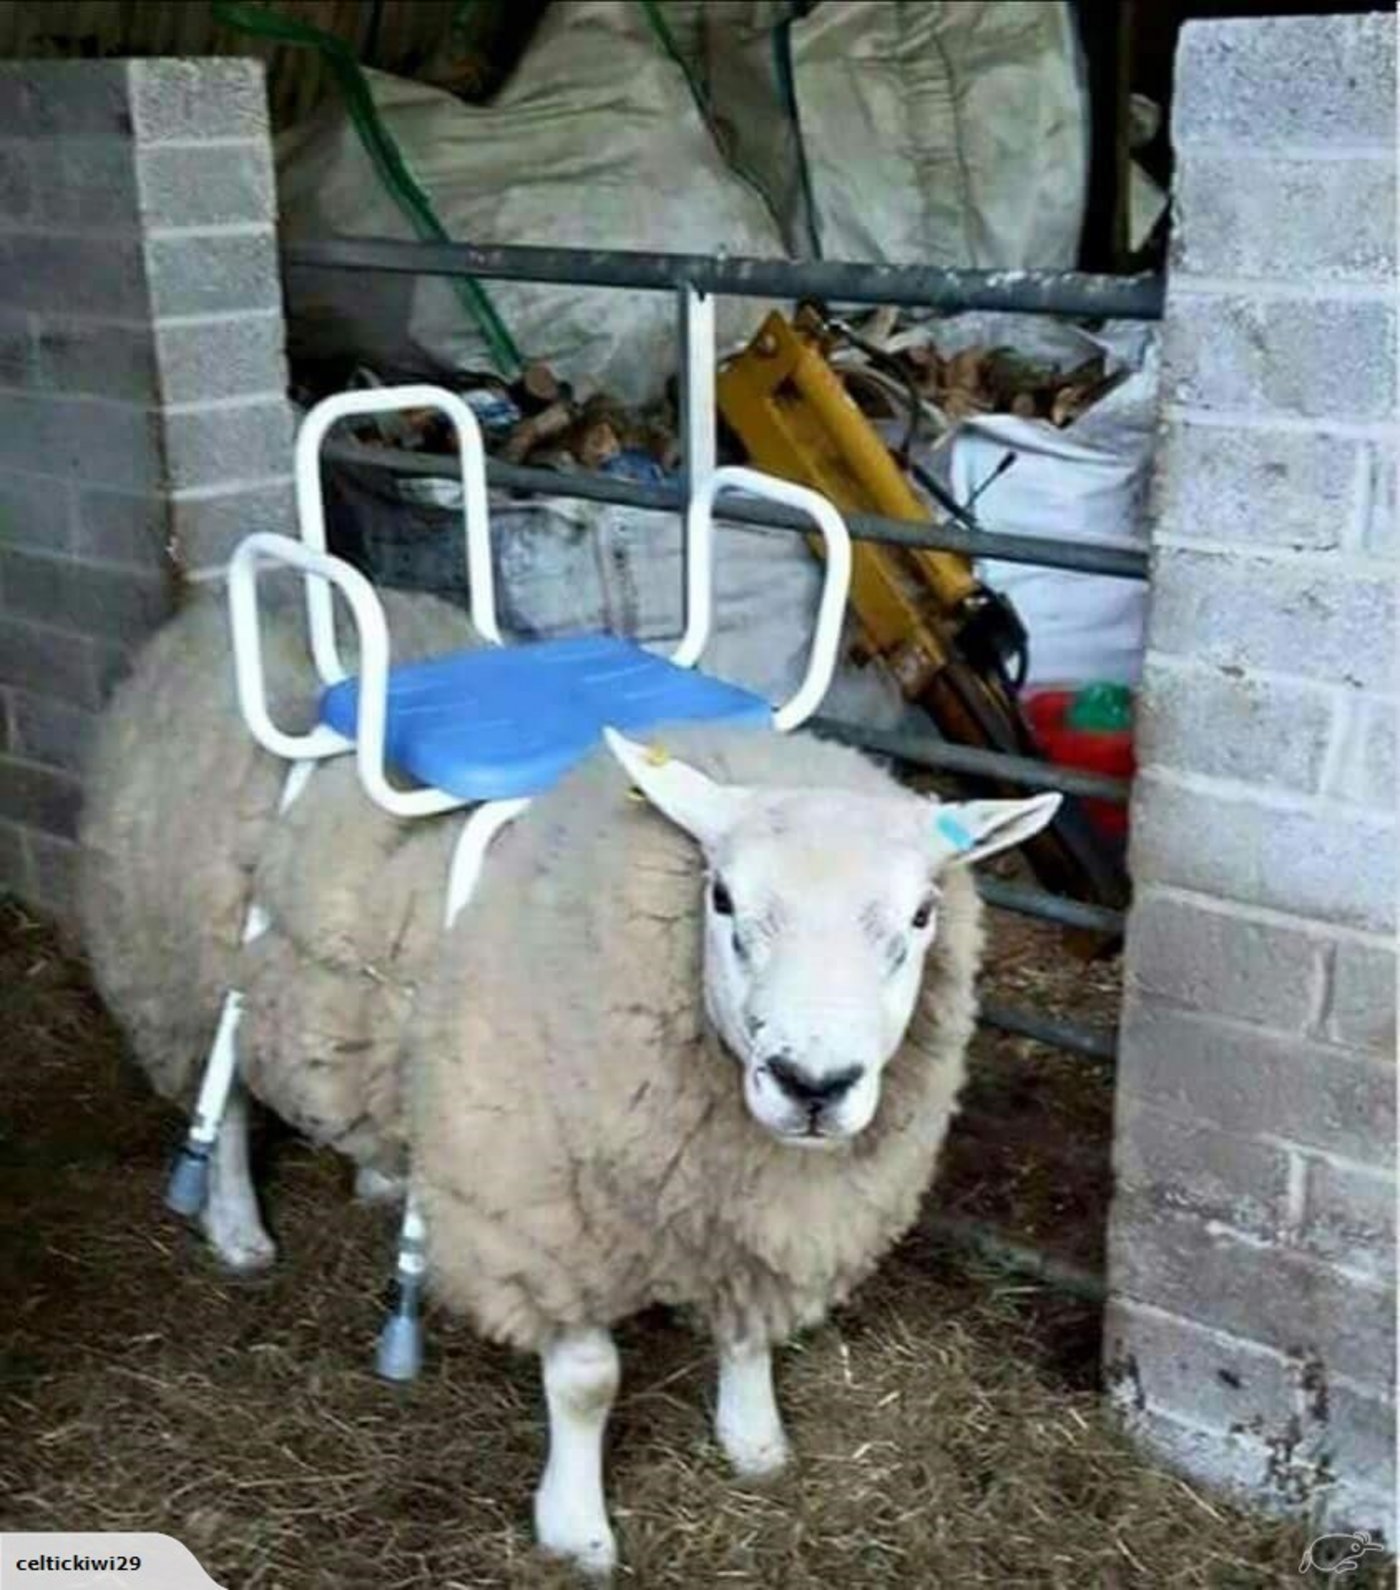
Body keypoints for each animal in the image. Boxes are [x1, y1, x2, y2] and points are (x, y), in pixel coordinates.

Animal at [76, 590, 1061, 1579]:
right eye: (723, 900)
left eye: (922, 914)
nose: (811, 1082)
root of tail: (215, 609)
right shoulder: (539, 1210)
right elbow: (589, 1383)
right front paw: (577, 1530)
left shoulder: (754, 1208)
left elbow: (748, 1329)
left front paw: (755, 1443)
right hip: (193, 977)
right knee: (227, 1104)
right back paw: (236, 1226)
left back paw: (383, 1176)